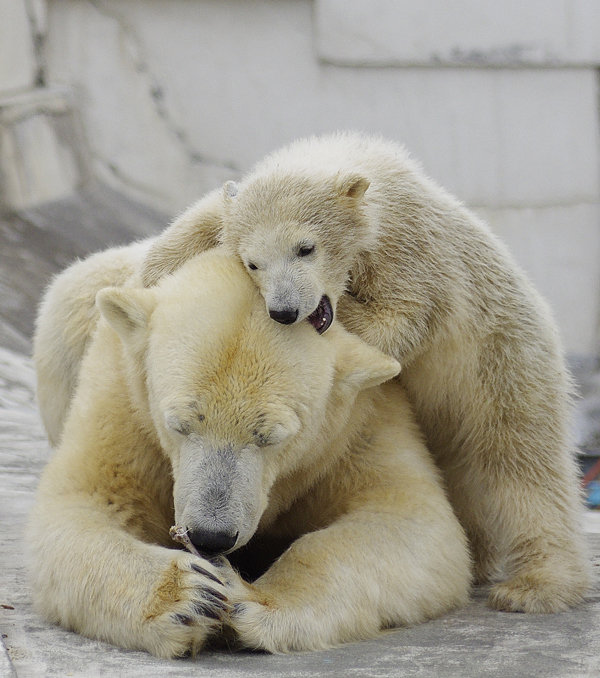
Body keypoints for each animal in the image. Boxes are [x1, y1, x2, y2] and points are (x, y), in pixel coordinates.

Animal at [28, 250, 472, 660]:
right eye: (180, 424)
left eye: (270, 437)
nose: (211, 536)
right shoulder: (126, 405)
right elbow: (84, 502)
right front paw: (190, 596)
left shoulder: (355, 426)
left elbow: (409, 520)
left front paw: (251, 599)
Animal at [141, 133, 592, 616]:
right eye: (253, 263)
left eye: (306, 247)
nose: (284, 311)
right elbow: (190, 232)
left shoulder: (410, 246)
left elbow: (402, 317)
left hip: (502, 362)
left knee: (523, 462)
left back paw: (535, 585)